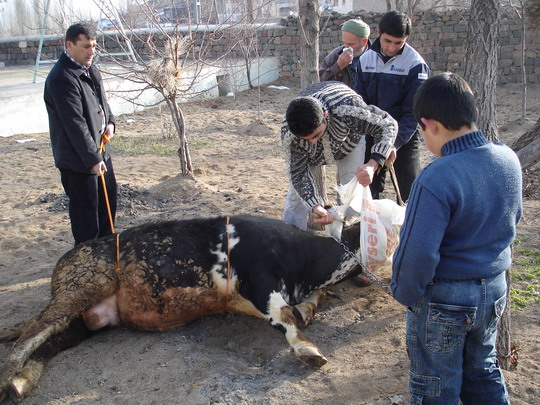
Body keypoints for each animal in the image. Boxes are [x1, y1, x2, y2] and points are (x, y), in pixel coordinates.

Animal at [0, 215, 364, 400]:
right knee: (34, 331)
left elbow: (309, 305)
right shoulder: (259, 283)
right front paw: (309, 350)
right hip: (79, 289)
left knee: (48, 342)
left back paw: (20, 383)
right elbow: (287, 315)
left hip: (85, 320)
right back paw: (8, 376)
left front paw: (309, 311)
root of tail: (68, 257)